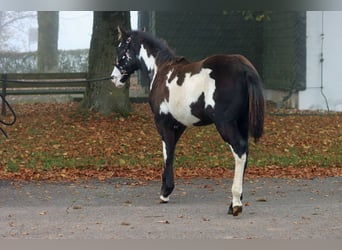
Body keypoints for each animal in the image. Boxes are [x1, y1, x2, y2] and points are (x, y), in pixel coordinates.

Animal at [111, 26, 264, 216]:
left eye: (121, 49)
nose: (114, 78)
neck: (161, 70)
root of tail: (242, 66)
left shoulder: (163, 123)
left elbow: (167, 153)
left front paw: (165, 192)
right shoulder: (180, 125)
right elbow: (171, 151)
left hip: (225, 124)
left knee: (240, 150)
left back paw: (236, 203)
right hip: (241, 123)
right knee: (245, 153)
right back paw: (234, 203)